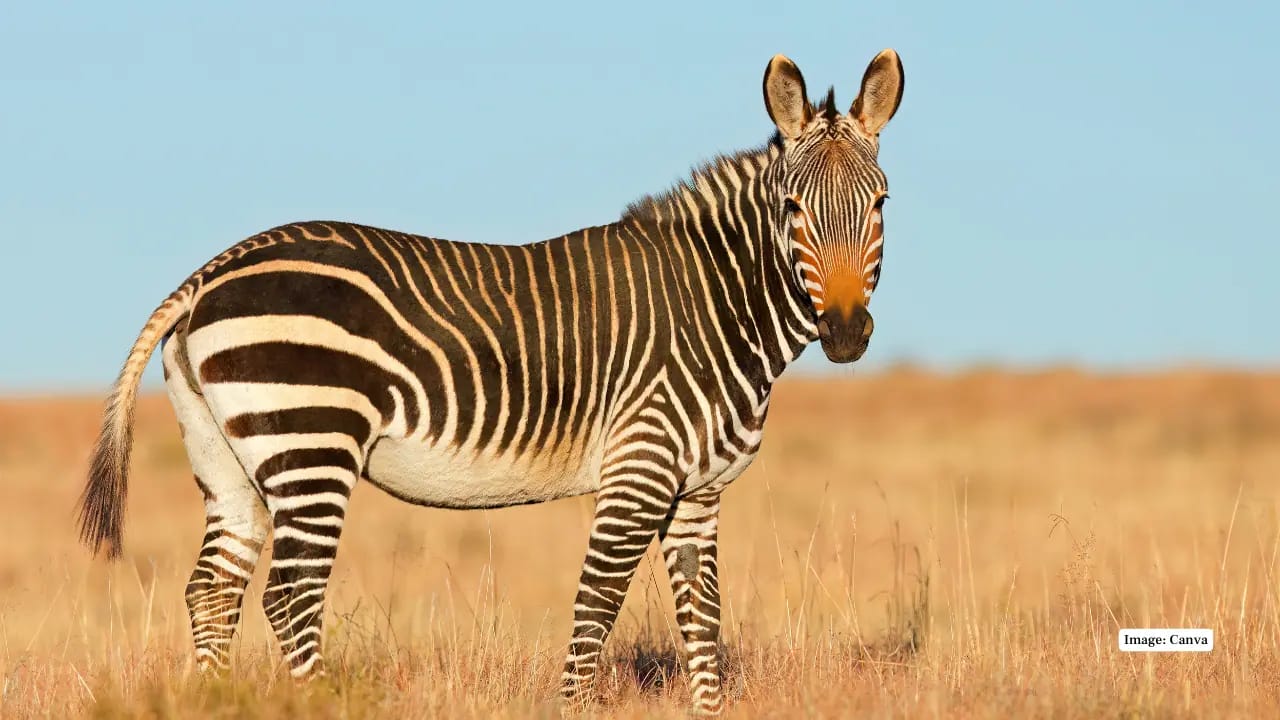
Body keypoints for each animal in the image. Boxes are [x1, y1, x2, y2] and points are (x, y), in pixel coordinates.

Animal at [76, 49, 904, 715]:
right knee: (289, 595)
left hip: (229, 458)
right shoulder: (639, 468)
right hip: (311, 441)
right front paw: (574, 711)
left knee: (213, 590)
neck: (718, 302)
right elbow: (597, 607)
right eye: (792, 208)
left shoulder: (698, 491)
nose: (845, 332)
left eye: (880, 203)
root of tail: (208, 274)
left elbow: (704, 623)